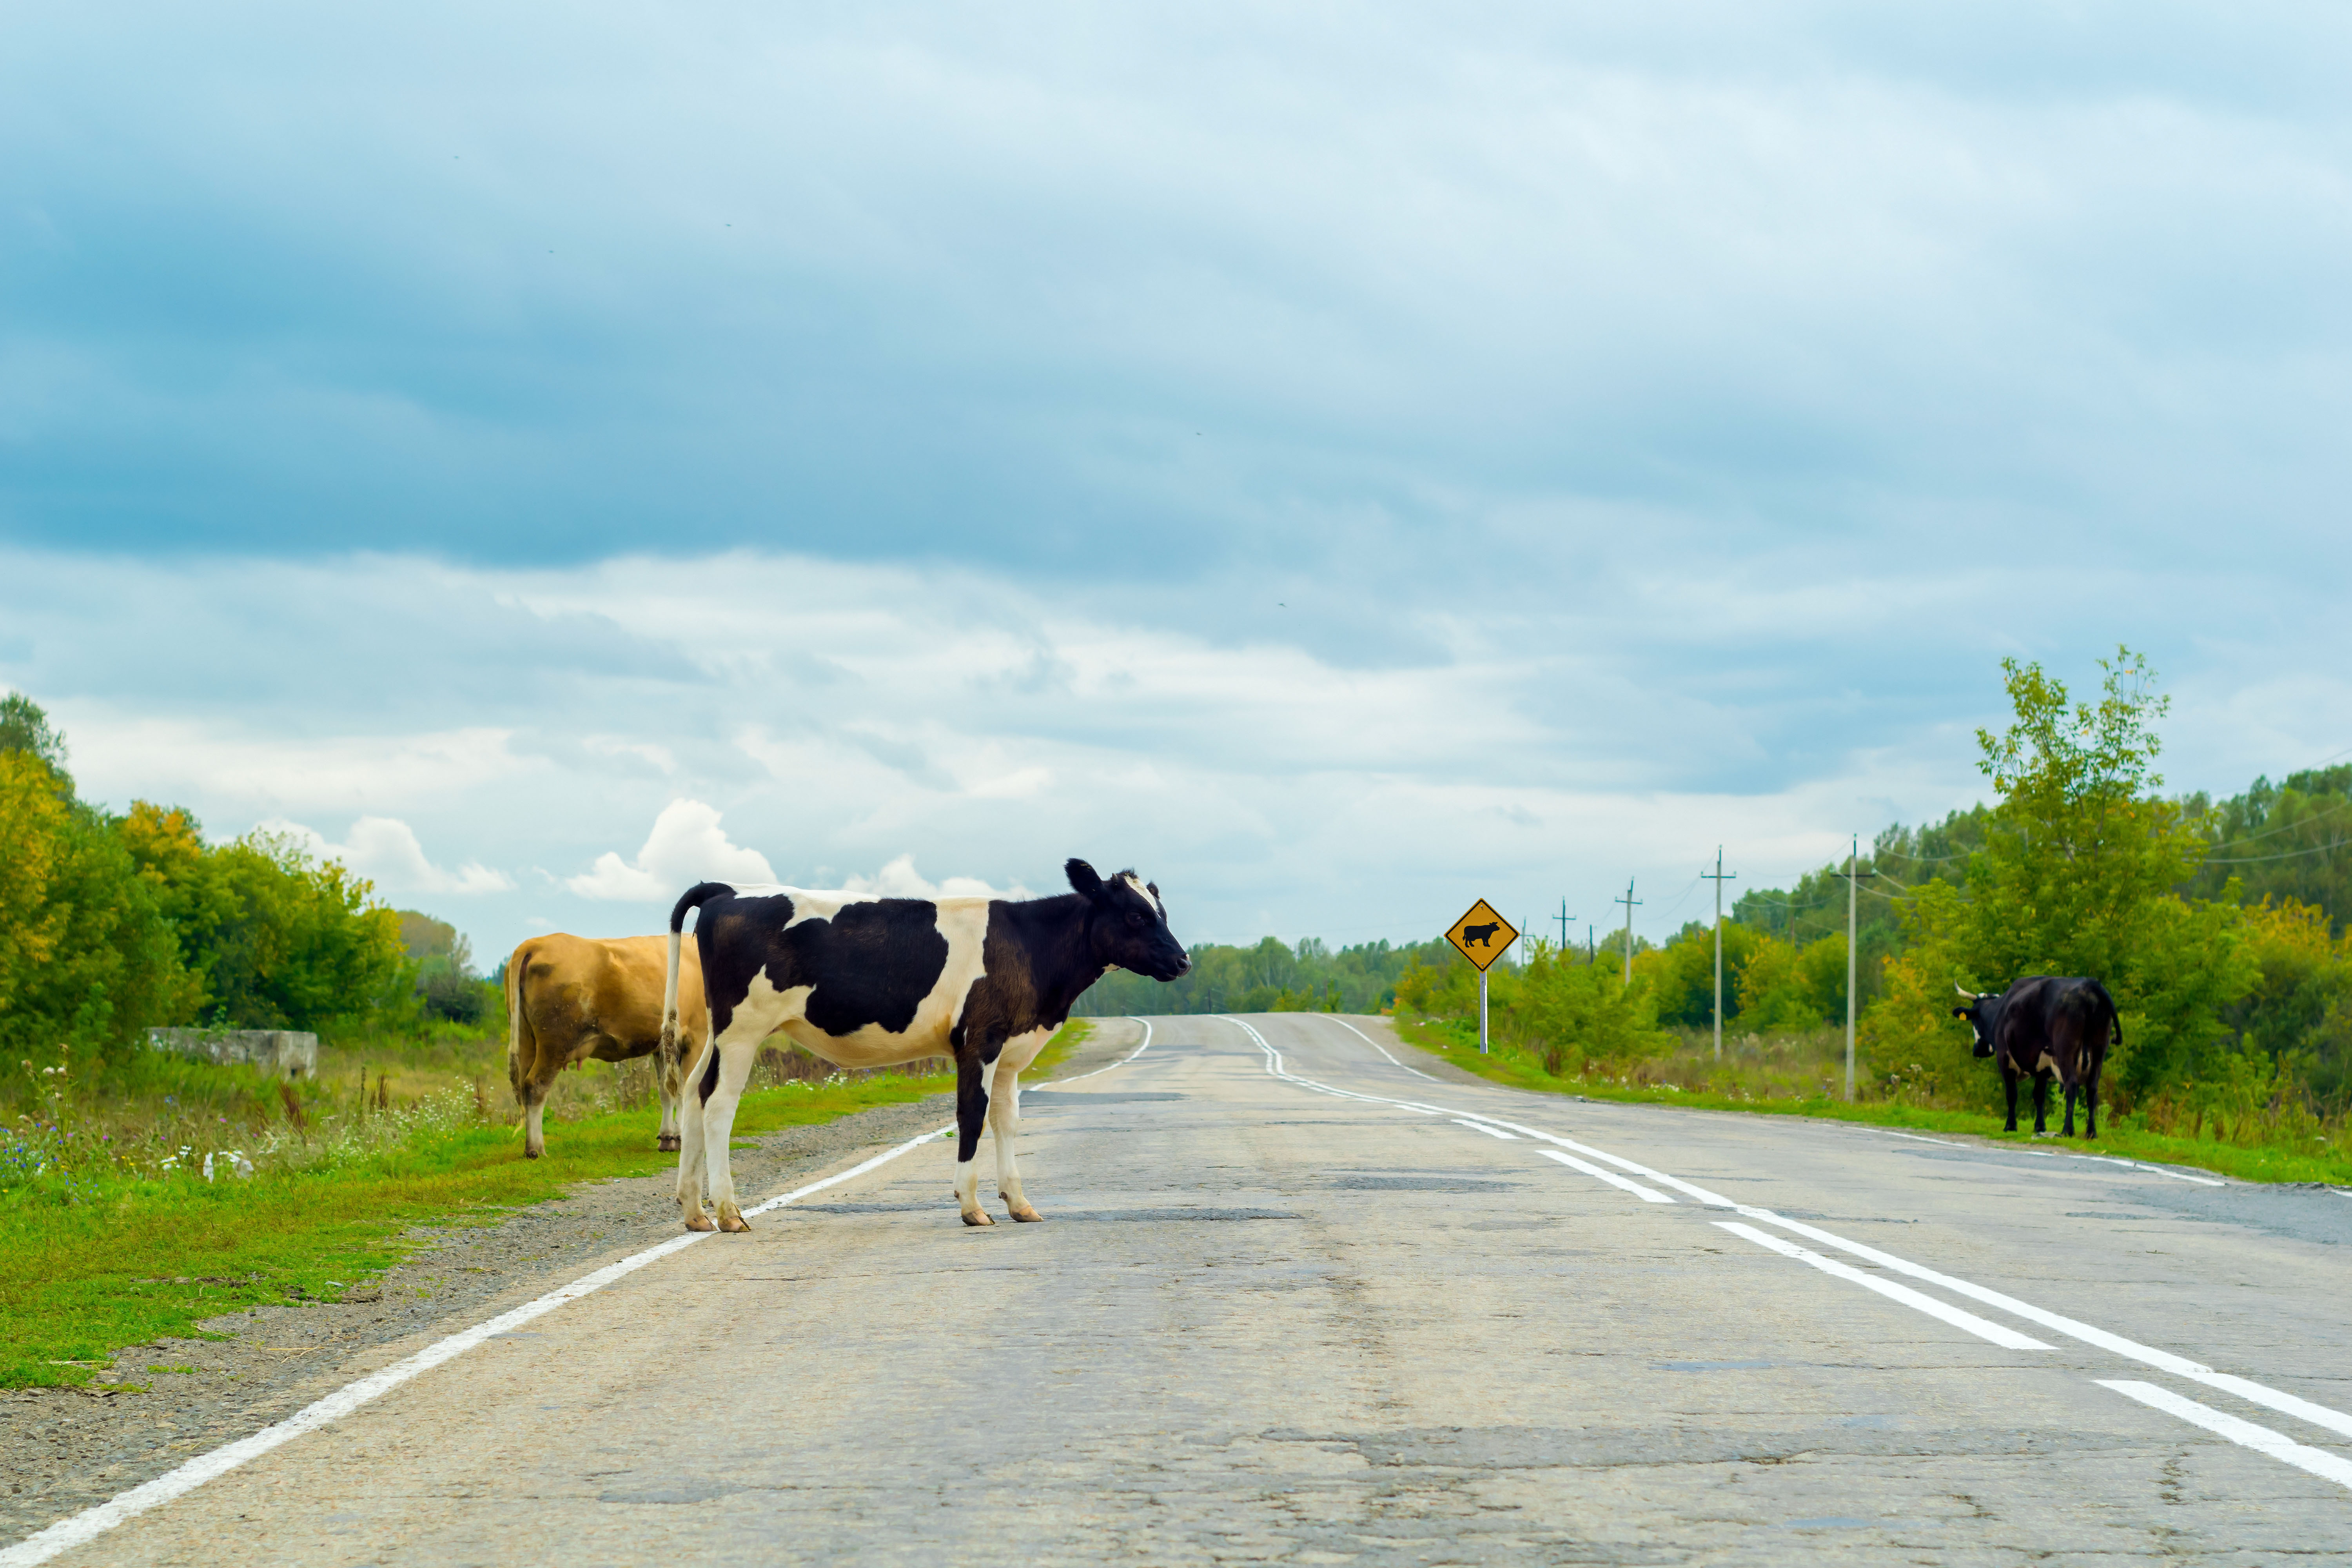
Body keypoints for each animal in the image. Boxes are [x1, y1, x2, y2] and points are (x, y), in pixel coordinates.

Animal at [504, 933, 710, 1159]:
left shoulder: (662, 1047)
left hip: (526, 1040)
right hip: (555, 1044)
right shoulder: (697, 1037)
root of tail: (533, 944)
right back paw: (536, 1148)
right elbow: (684, 1089)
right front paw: (682, 1137)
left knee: (523, 1085)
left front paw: (668, 1138)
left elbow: (667, 1092)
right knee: (536, 1086)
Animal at [659, 858, 1190, 1233]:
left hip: (719, 1031)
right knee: (719, 1105)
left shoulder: (1010, 1052)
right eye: (1136, 915)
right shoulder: (979, 1040)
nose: (1184, 961)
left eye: (1161, 912)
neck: (1030, 946)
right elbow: (972, 1117)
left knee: (694, 1093)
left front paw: (1019, 1203)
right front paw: (972, 1207)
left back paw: (694, 1210)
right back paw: (729, 1211)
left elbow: (1007, 1121)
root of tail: (729, 890)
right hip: (743, 1028)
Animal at [1951, 977, 2121, 1139]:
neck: (2001, 1011)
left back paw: (2067, 1130)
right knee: (2092, 1089)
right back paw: (2091, 1133)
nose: (1978, 1050)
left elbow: (2012, 1094)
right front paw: (2040, 1127)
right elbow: (2039, 1095)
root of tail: (2090, 984)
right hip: (2099, 1049)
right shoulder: (2043, 1066)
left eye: (1974, 1021)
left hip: (2066, 1050)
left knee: (2071, 1085)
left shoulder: (2005, 1060)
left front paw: (2010, 1126)